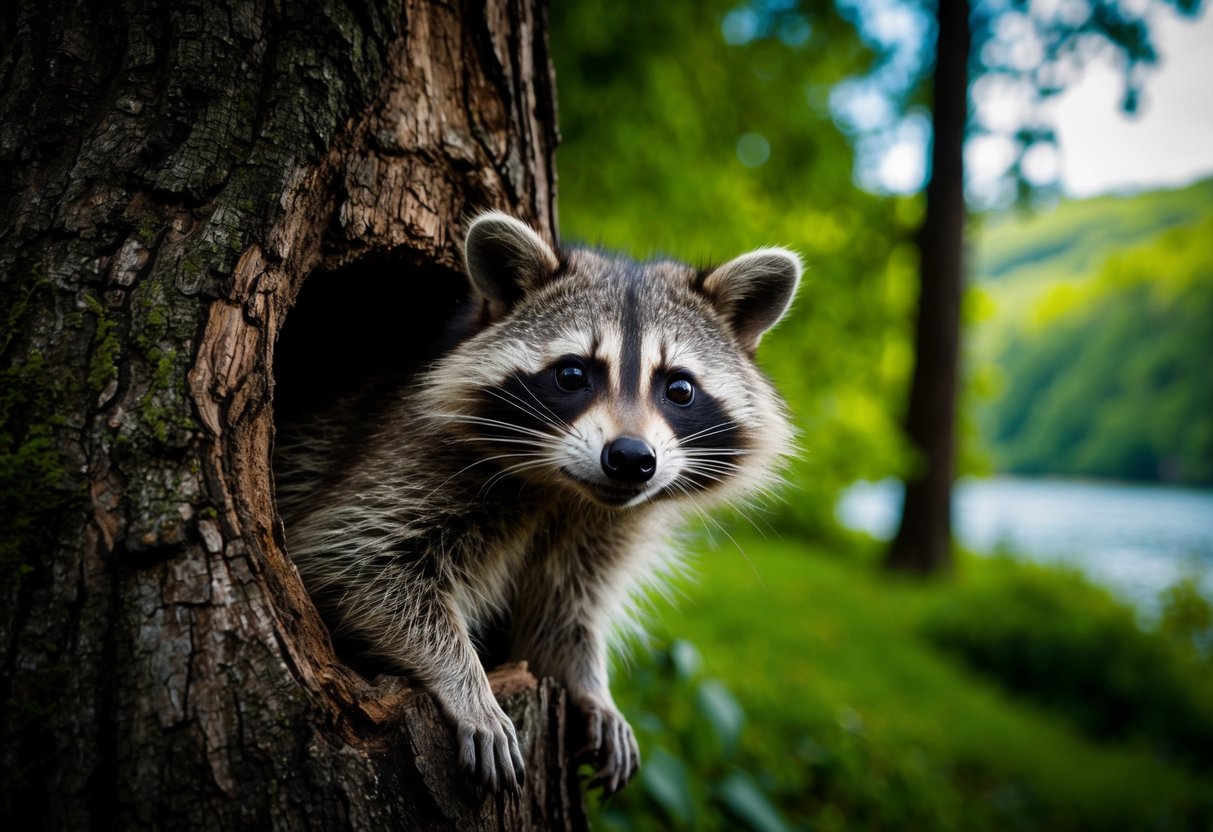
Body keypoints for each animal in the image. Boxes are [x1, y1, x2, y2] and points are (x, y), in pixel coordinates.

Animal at [274, 212, 800, 794]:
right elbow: (353, 561)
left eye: (680, 389)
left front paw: (589, 684)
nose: (631, 458)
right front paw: (465, 683)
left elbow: (563, 613)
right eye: (572, 374)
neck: (563, 490)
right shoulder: (409, 460)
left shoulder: (600, 531)